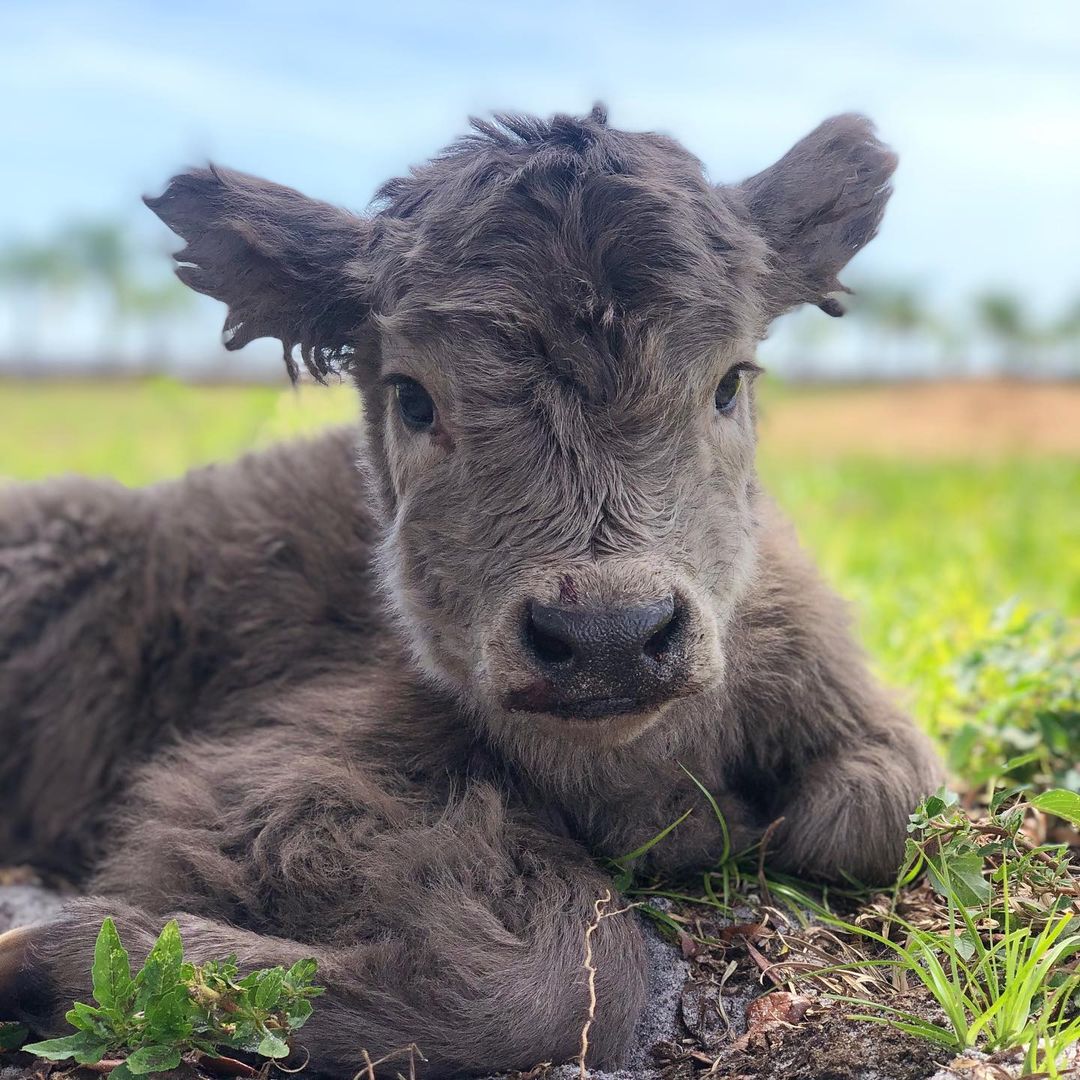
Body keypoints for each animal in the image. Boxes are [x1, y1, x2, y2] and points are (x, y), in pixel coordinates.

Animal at [0, 105, 937, 1075]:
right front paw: (46, 953)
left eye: (727, 384)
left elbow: (866, 818)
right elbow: (561, 984)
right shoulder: (269, 776)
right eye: (413, 399)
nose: (607, 638)